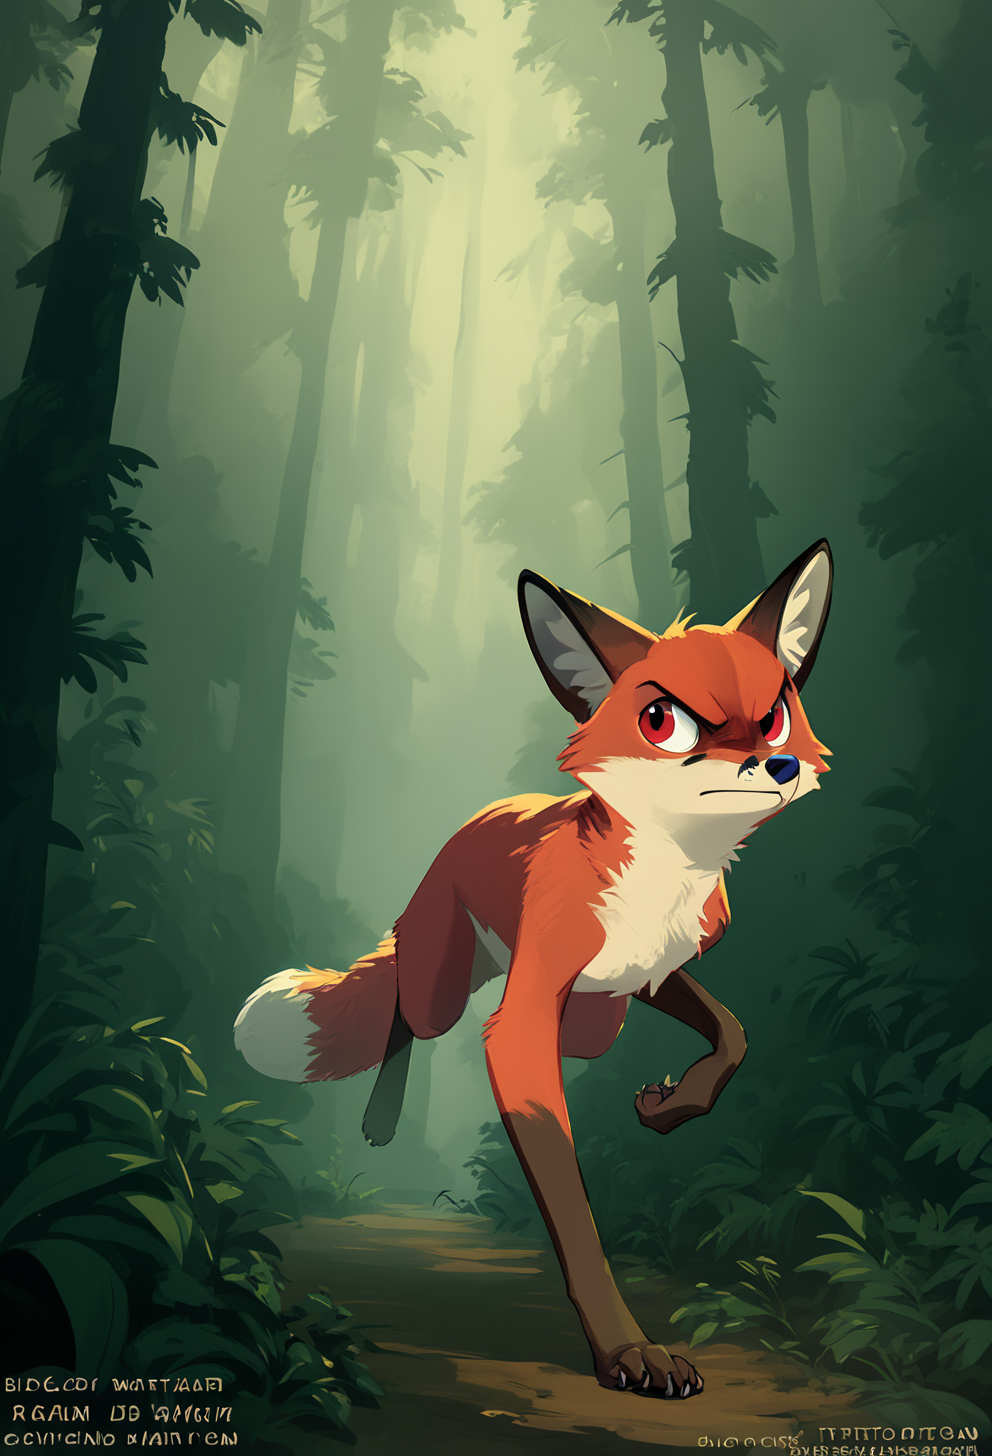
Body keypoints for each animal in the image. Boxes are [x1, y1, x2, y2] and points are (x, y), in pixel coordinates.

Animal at [234, 539, 832, 1399]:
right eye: (665, 721)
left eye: (778, 711)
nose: (778, 764)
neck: (660, 877)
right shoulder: (521, 1024)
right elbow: (575, 1219)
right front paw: (625, 1350)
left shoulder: (646, 974)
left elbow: (733, 1033)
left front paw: (670, 1106)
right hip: (444, 990)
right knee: (402, 1015)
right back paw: (381, 1117)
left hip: (593, 1021)